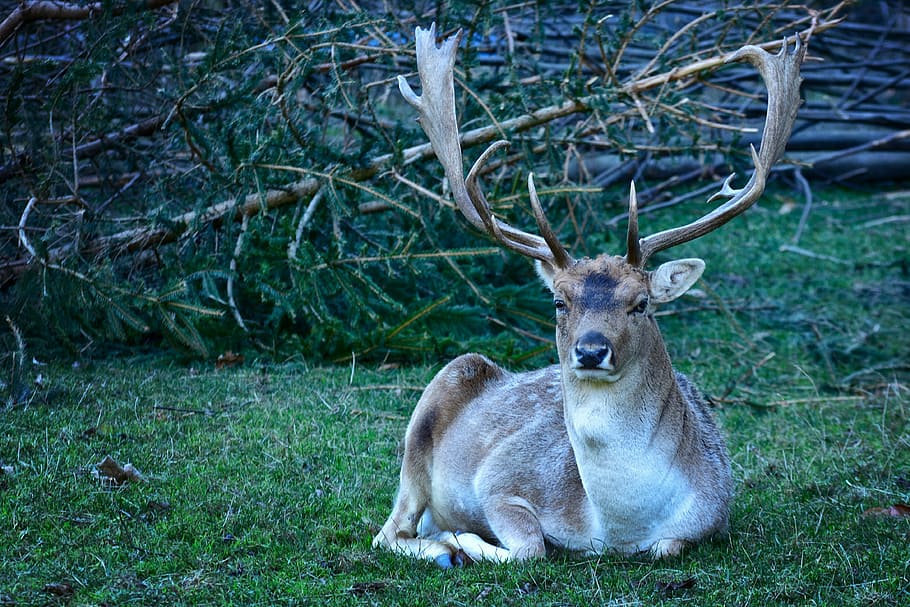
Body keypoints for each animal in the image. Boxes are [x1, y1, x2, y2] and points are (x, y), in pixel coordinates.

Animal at [373, 24, 805, 567]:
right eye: (560, 302)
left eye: (641, 304)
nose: (592, 350)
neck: (617, 526)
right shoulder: (500, 481)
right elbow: (531, 547)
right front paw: (465, 540)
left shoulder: (712, 516)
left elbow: (667, 547)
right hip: (427, 418)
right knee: (388, 531)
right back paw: (443, 546)